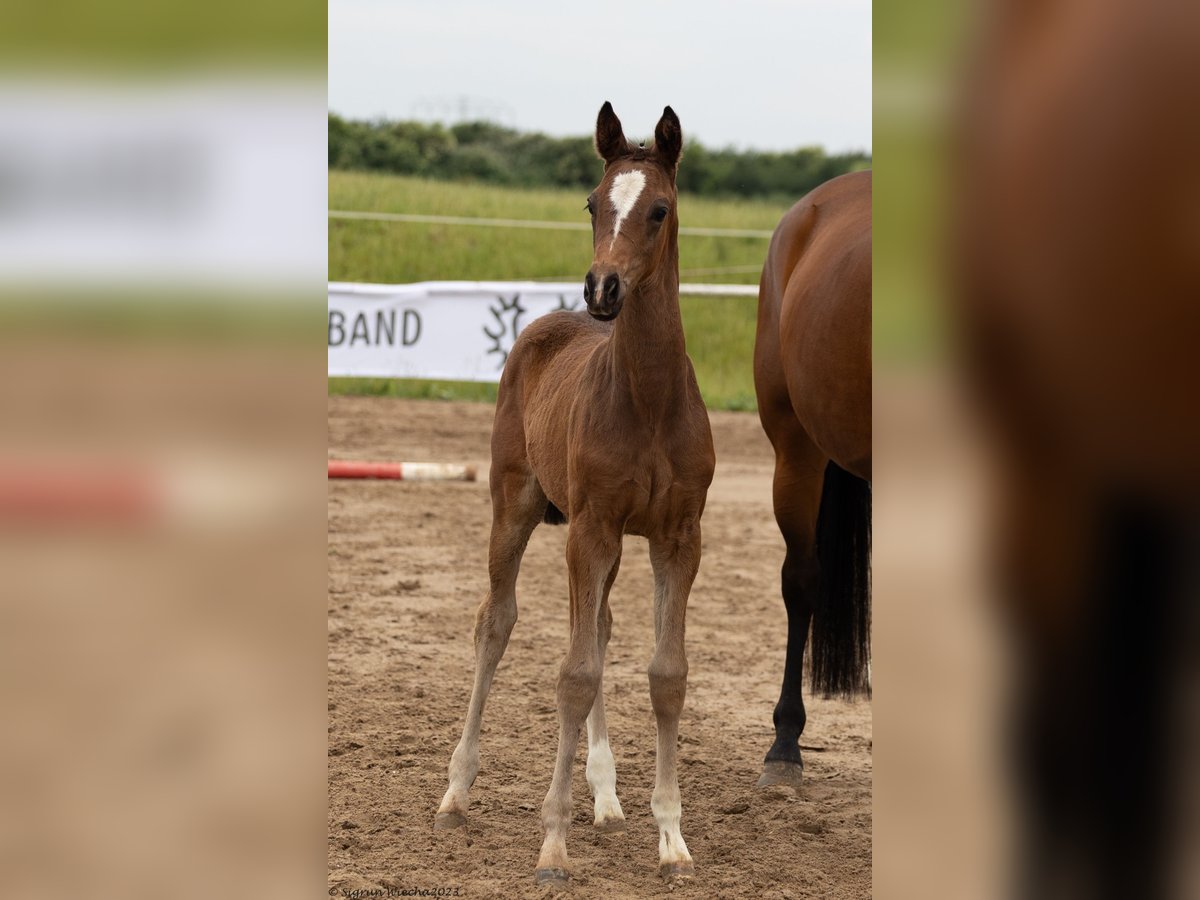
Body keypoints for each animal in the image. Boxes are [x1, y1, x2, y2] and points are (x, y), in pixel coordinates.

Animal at [436, 103, 710, 888]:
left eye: (659, 209)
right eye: (592, 202)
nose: (603, 289)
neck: (648, 400)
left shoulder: (678, 536)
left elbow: (665, 674)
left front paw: (671, 838)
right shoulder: (589, 529)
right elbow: (575, 673)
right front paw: (553, 845)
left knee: (603, 625)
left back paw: (607, 794)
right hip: (516, 508)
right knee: (495, 623)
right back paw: (456, 790)